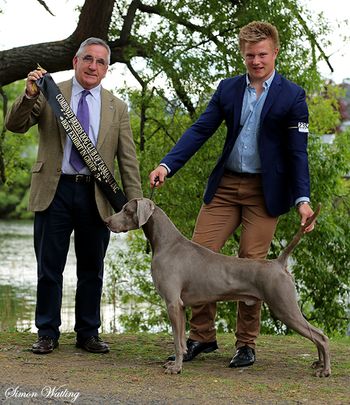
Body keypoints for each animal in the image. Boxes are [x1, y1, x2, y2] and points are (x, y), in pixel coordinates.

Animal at [105, 197, 330, 378]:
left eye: (126, 209)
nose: (106, 221)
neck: (167, 243)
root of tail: (278, 263)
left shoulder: (172, 303)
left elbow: (176, 341)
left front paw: (176, 368)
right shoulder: (181, 306)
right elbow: (181, 341)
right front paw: (178, 361)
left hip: (284, 307)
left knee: (321, 336)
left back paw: (325, 370)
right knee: (317, 335)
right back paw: (319, 364)